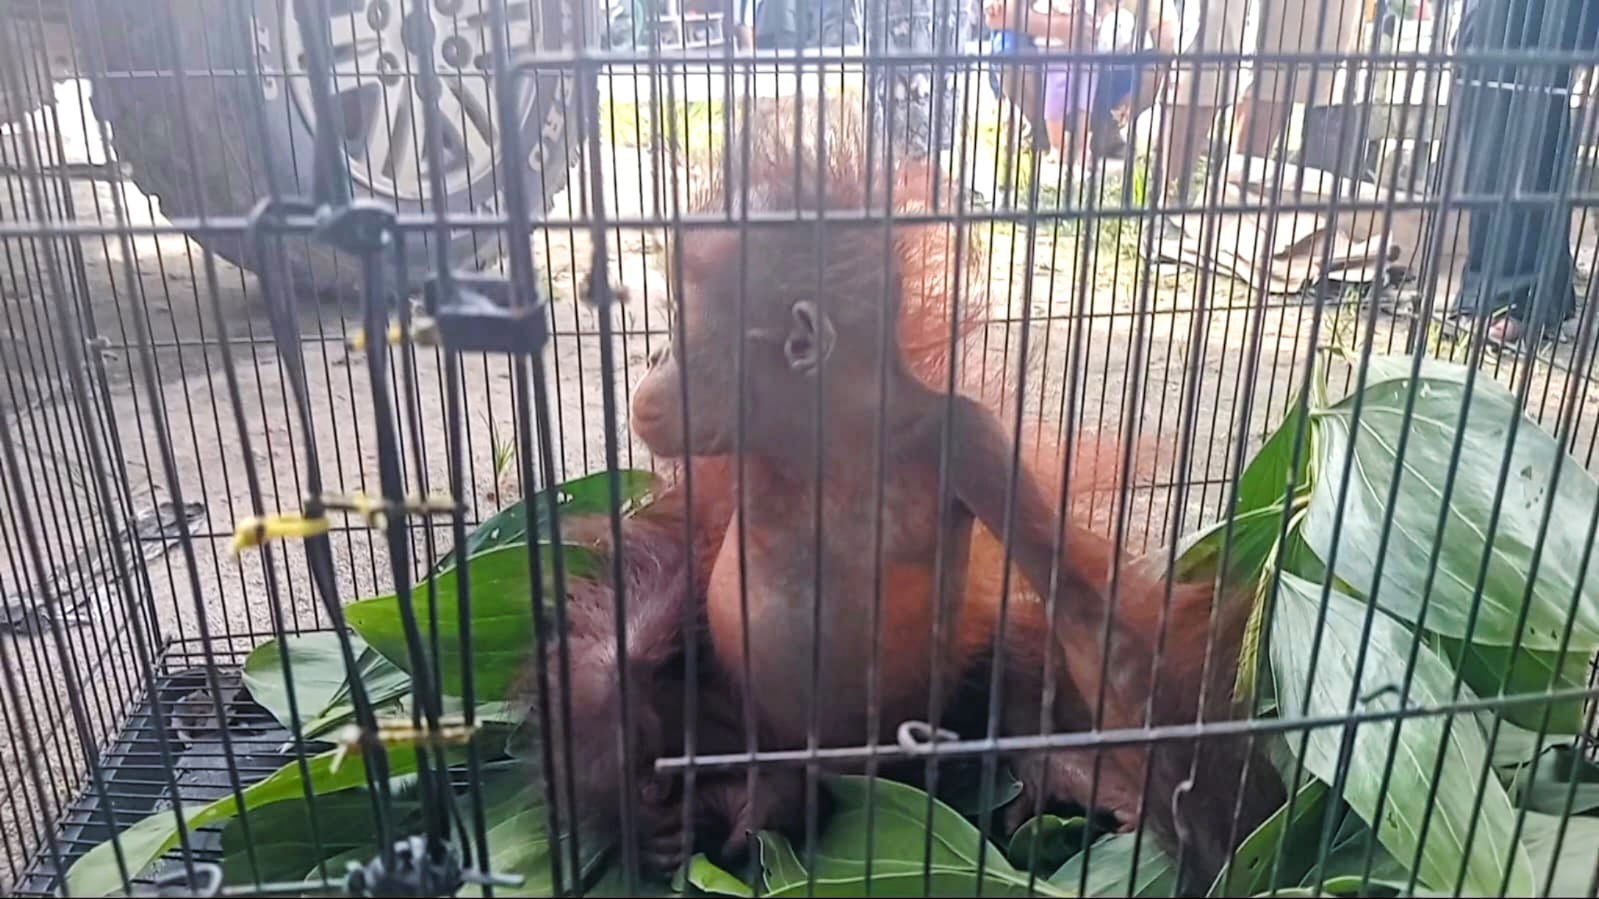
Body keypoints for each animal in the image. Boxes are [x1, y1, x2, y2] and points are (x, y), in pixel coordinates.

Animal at [624, 98, 1284, 893]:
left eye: (682, 325)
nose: (655, 355)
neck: (840, 435)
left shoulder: (971, 436)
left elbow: (1090, 626)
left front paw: (1225, 834)